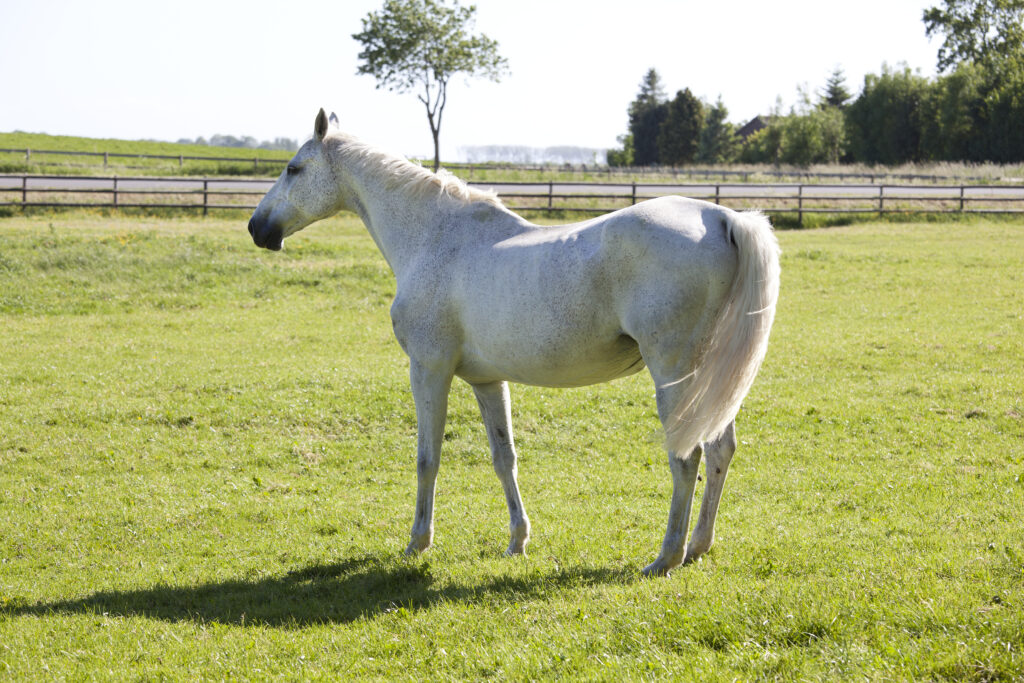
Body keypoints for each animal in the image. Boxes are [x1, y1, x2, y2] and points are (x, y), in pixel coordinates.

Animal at [248, 109, 780, 575]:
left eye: (293, 168)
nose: (258, 228)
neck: (435, 238)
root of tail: (720, 218)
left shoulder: (429, 370)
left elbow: (427, 458)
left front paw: (418, 542)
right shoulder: (487, 382)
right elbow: (505, 459)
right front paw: (518, 540)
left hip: (673, 372)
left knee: (686, 456)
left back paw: (665, 557)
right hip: (710, 378)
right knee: (719, 449)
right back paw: (697, 547)